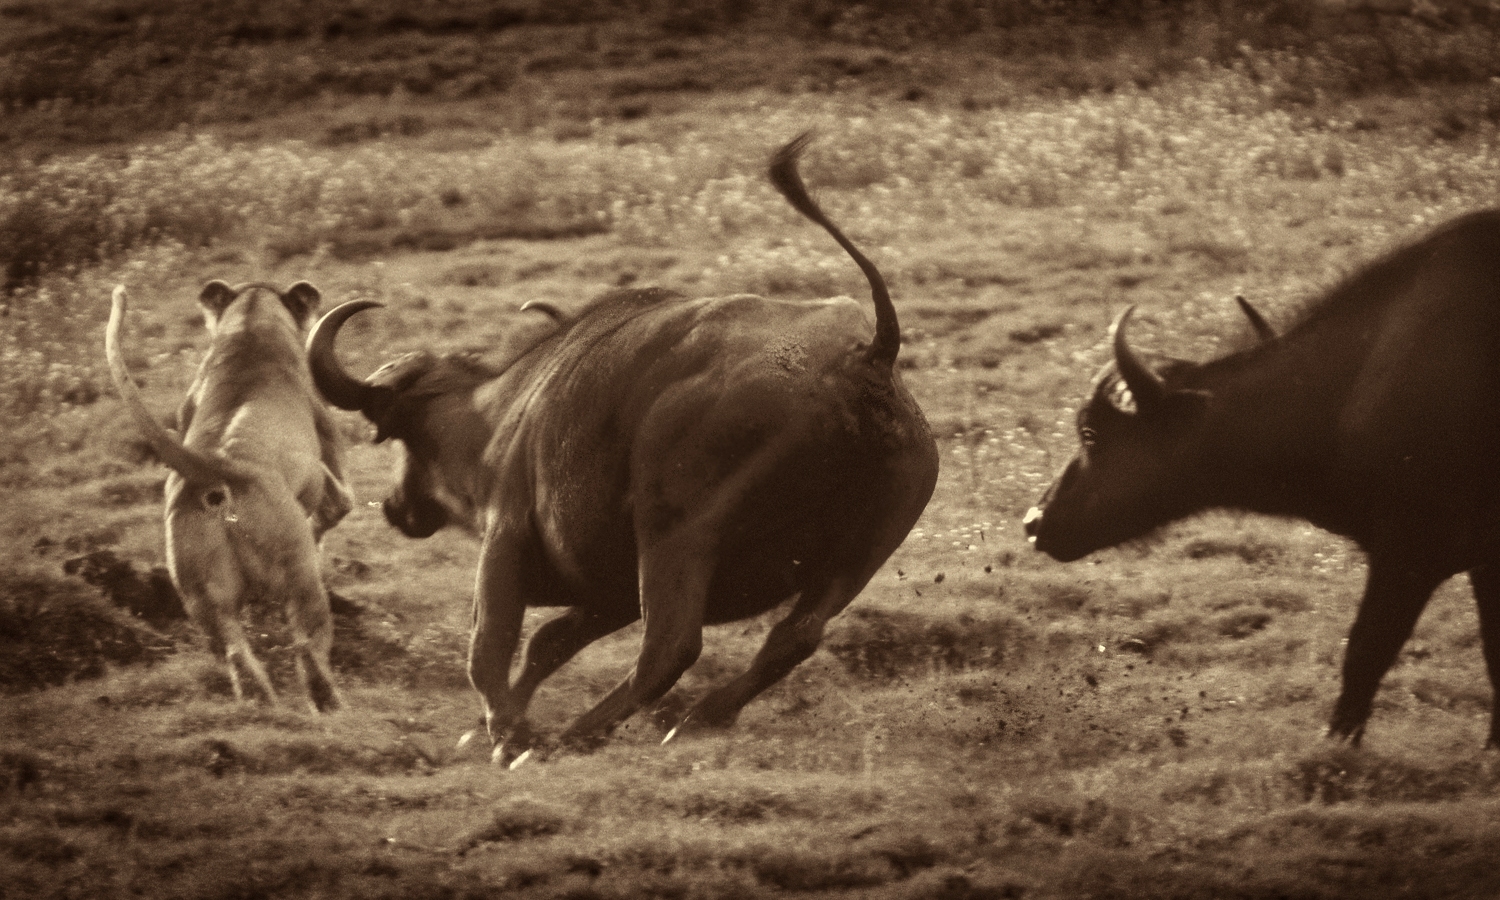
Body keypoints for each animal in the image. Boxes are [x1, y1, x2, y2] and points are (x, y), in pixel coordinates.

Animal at [304, 137, 936, 762]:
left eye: (398, 433)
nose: (396, 507)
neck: (501, 415)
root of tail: (867, 359)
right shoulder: (608, 591)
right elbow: (547, 642)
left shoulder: (506, 539)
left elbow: (491, 644)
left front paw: (510, 734)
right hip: (857, 555)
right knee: (792, 638)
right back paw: (697, 719)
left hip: (676, 537)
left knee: (671, 646)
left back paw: (579, 734)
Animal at [1026, 208, 1500, 744]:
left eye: (1090, 432)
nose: (1034, 521)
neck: (1347, 387)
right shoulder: (1483, 560)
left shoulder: (1409, 551)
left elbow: (1365, 652)